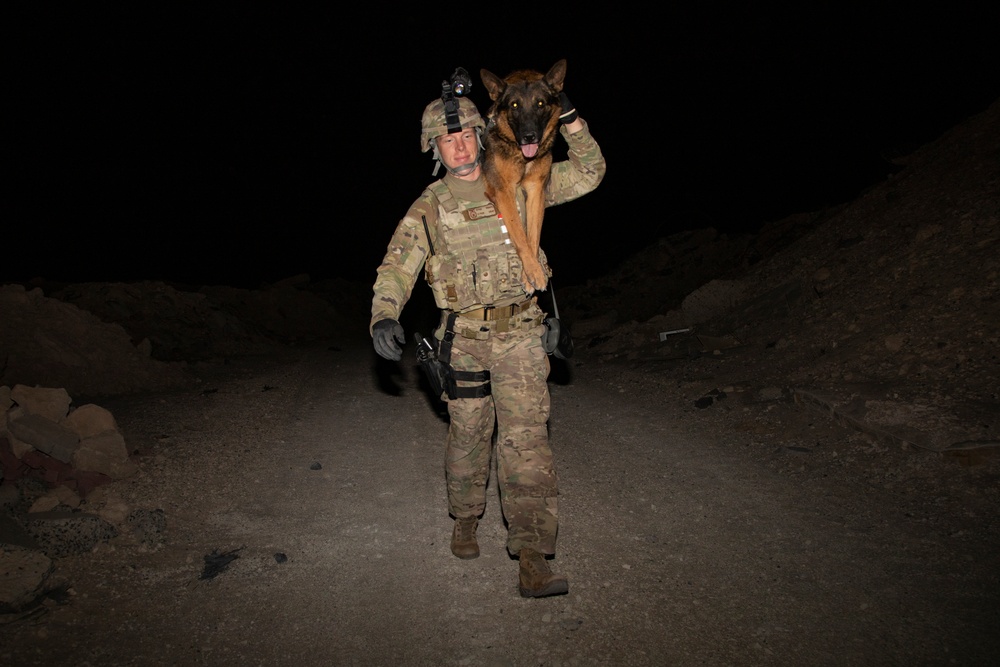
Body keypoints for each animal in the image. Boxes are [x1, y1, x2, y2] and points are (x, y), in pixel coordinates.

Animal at [480, 58, 568, 294]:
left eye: (540, 104)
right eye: (514, 106)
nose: (529, 136)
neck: (523, 158)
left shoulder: (536, 190)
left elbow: (532, 235)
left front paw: (530, 273)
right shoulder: (504, 191)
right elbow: (519, 234)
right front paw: (534, 272)